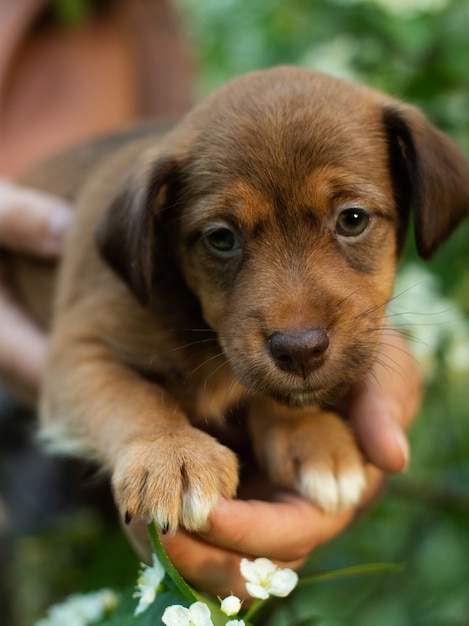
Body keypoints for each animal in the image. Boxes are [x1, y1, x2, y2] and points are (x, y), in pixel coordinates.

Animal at [15, 64, 468, 532]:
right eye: (221, 238)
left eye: (353, 219)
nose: (300, 351)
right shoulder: (80, 350)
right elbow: (133, 396)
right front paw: (172, 451)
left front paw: (309, 434)